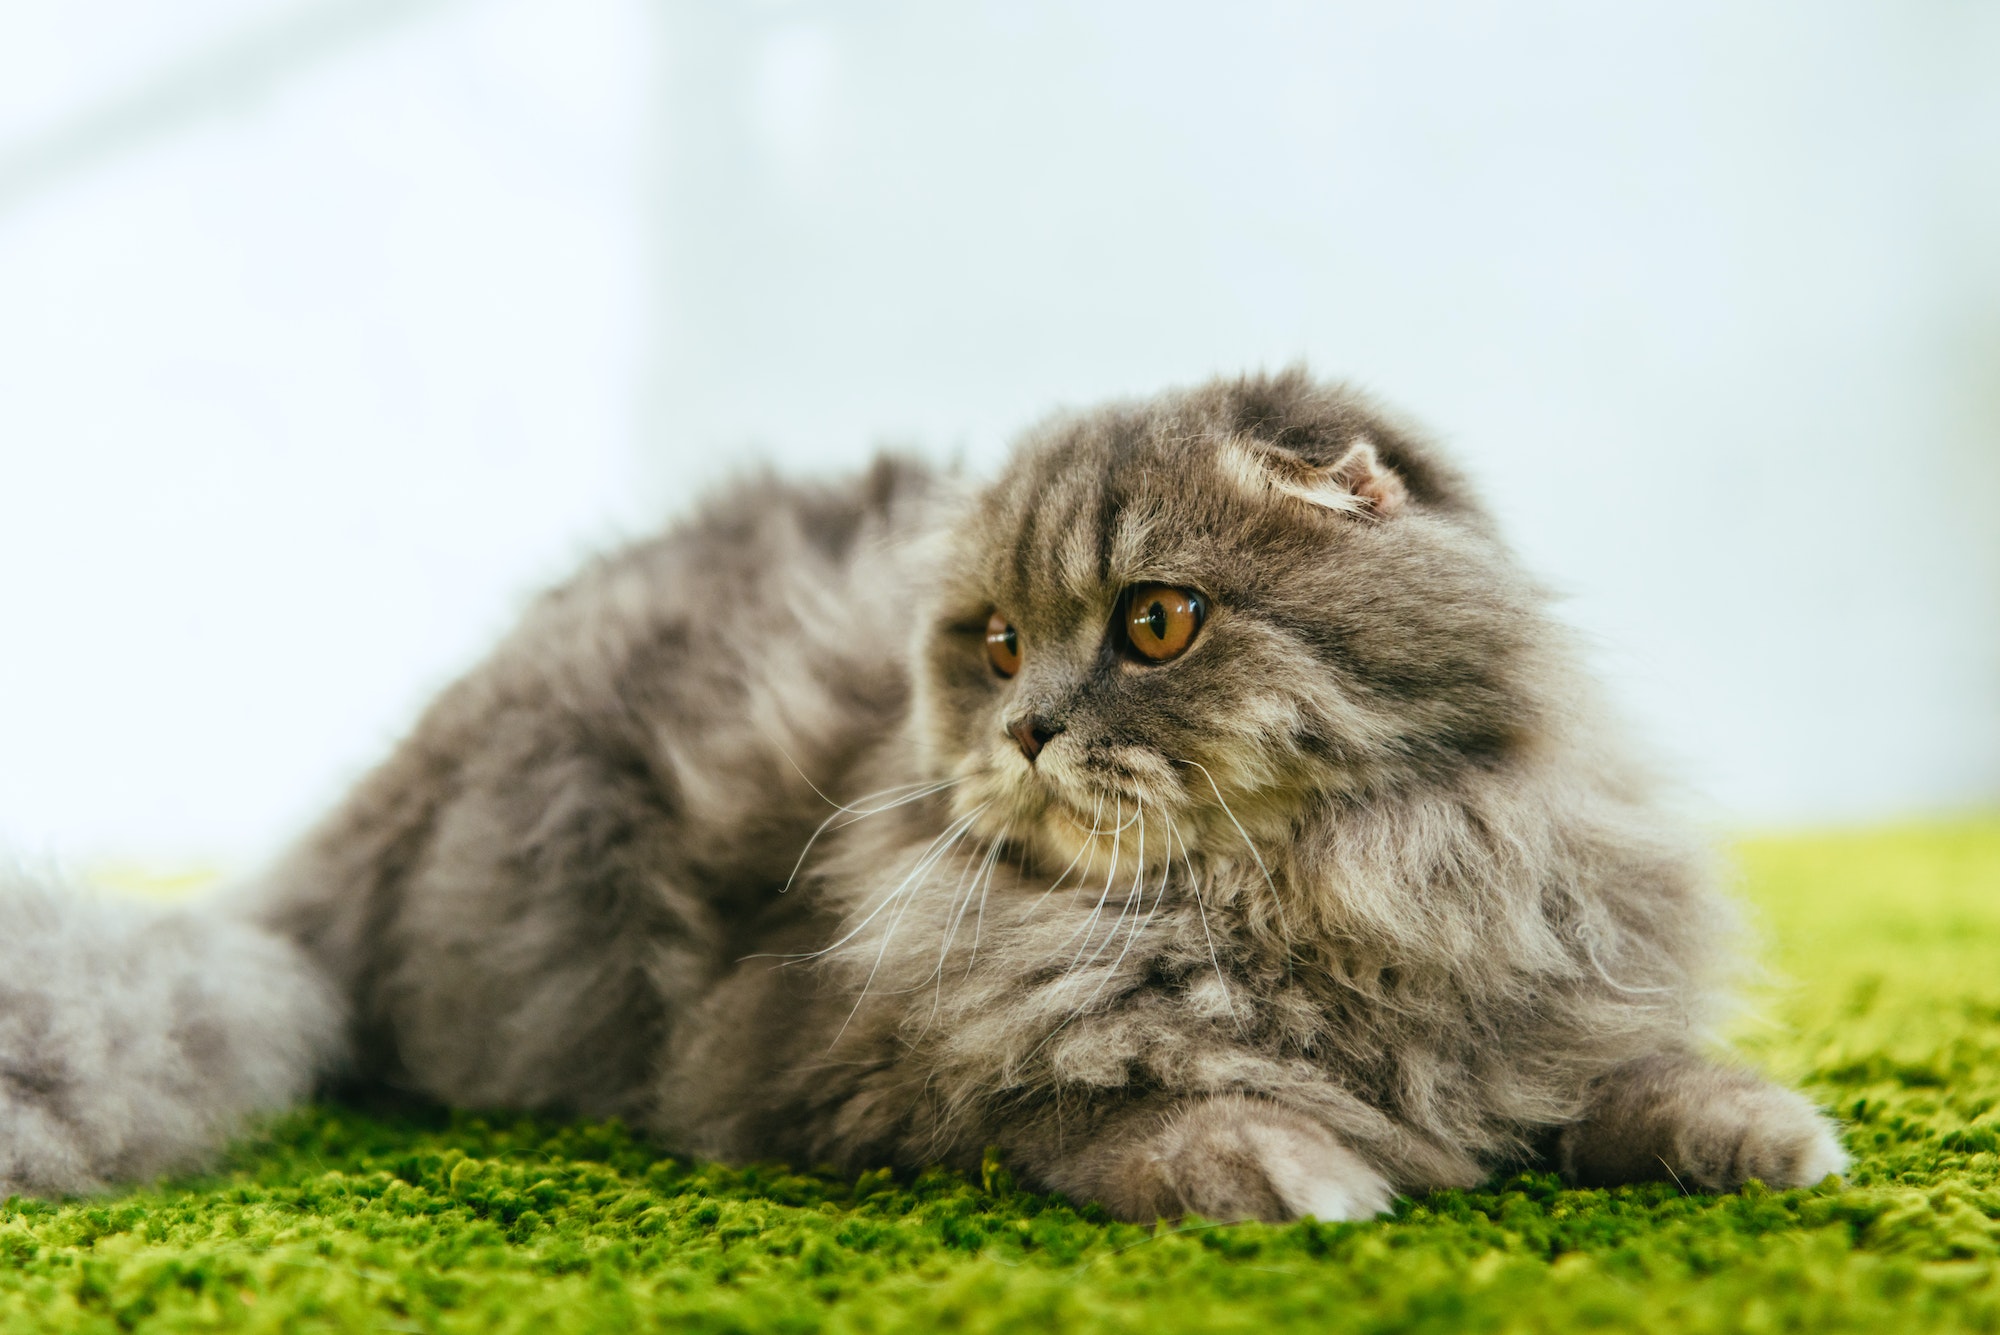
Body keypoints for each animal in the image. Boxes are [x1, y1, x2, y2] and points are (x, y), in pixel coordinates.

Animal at [0, 367, 1840, 1223]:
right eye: (999, 638)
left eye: (1155, 623)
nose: (1023, 727)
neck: (1291, 897)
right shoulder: (862, 1087)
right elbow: (1128, 1114)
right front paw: (1299, 1166)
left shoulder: (1530, 999)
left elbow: (1635, 1077)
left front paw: (1771, 1134)